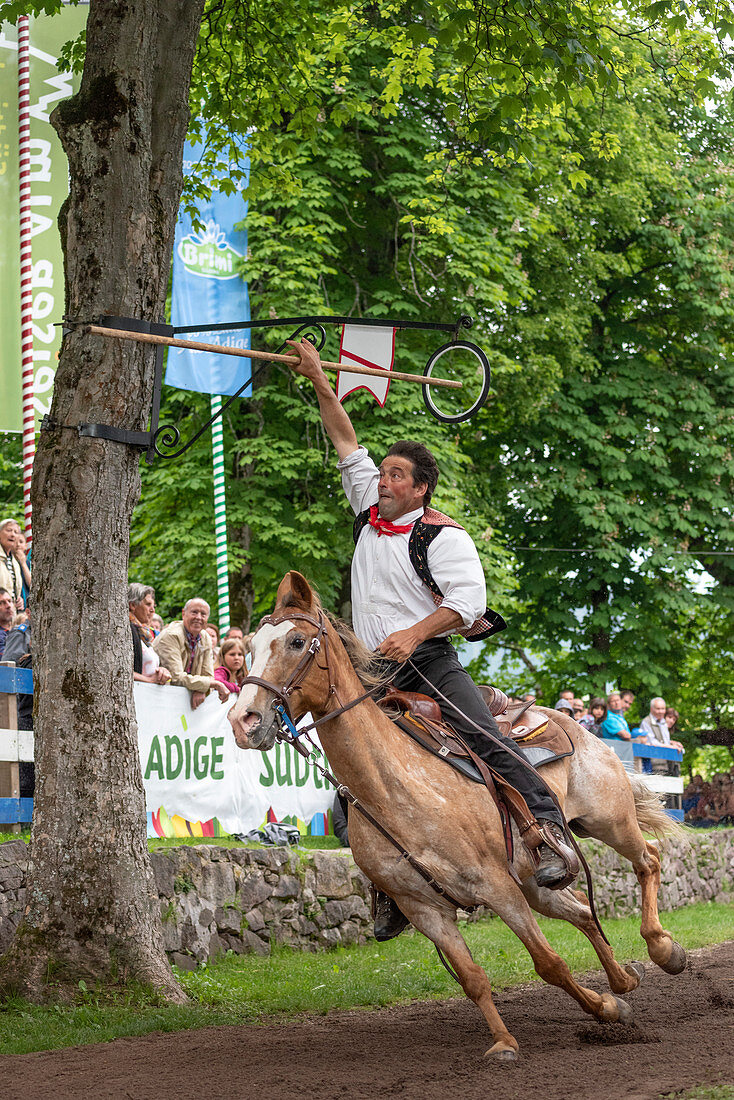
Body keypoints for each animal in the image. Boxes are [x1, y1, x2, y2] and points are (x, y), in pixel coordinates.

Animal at [226, 572, 686, 1060]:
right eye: (250, 647)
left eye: (297, 641)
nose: (244, 720)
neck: (397, 786)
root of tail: (570, 721)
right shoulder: (424, 908)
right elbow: (472, 979)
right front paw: (508, 1040)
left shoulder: (497, 887)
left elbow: (550, 964)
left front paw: (603, 1008)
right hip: (535, 882)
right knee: (582, 910)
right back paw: (623, 979)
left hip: (607, 821)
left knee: (648, 859)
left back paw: (663, 950)